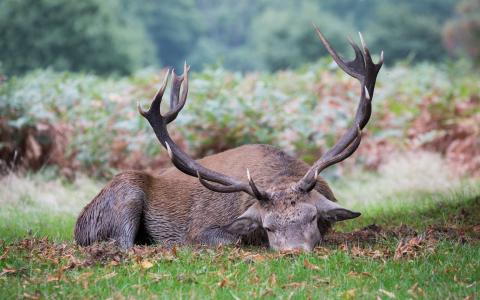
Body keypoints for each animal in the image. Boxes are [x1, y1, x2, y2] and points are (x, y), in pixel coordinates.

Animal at [74, 29, 382, 252]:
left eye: (313, 218)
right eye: (267, 227)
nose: (293, 250)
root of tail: (77, 227)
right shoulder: (201, 229)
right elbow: (229, 239)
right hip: (125, 193)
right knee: (124, 244)